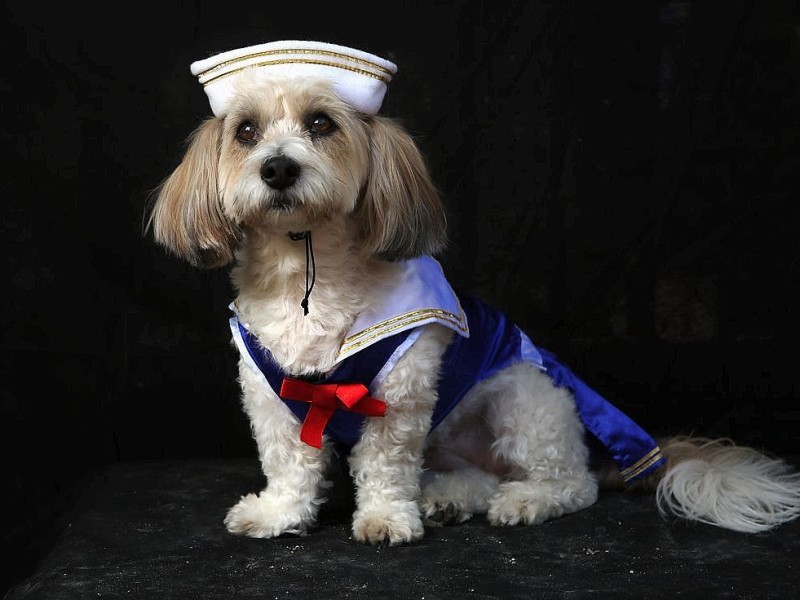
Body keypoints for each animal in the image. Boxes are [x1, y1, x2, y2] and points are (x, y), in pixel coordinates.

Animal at [148, 38, 800, 544]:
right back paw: (449, 499)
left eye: (320, 124)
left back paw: (524, 501)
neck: (311, 270)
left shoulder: (401, 393)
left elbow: (385, 465)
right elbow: (290, 461)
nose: (278, 167)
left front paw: (387, 519)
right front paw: (280, 513)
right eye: (246, 131)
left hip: (524, 396)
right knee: (479, 478)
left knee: (573, 482)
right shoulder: (271, 390)